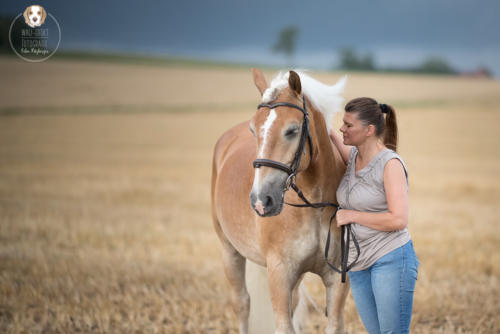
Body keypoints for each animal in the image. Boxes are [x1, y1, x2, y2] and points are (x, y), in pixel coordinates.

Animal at [213, 68, 350, 334]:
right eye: (253, 129)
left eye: (292, 130)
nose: (261, 200)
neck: (314, 207)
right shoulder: (279, 274)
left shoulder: (337, 280)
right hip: (229, 251)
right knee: (242, 303)